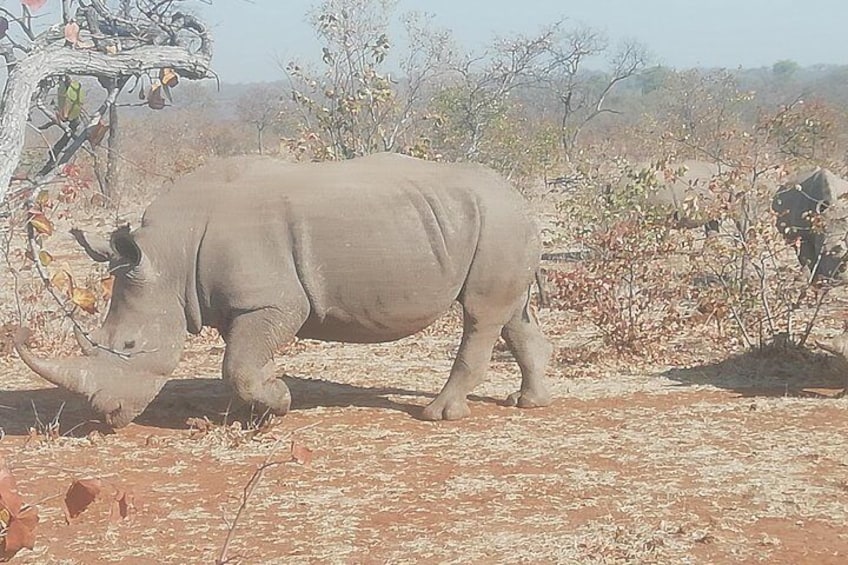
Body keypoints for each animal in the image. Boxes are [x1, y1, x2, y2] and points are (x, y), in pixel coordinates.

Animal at [14, 153, 553, 427]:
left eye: (128, 345)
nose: (107, 416)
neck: (169, 254)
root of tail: (520, 196)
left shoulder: (273, 300)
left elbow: (239, 366)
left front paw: (280, 400)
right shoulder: (237, 303)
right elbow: (239, 363)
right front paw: (240, 416)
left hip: (499, 221)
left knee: (481, 314)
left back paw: (437, 416)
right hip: (495, 223)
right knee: (512, 314)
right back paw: (529, 403)